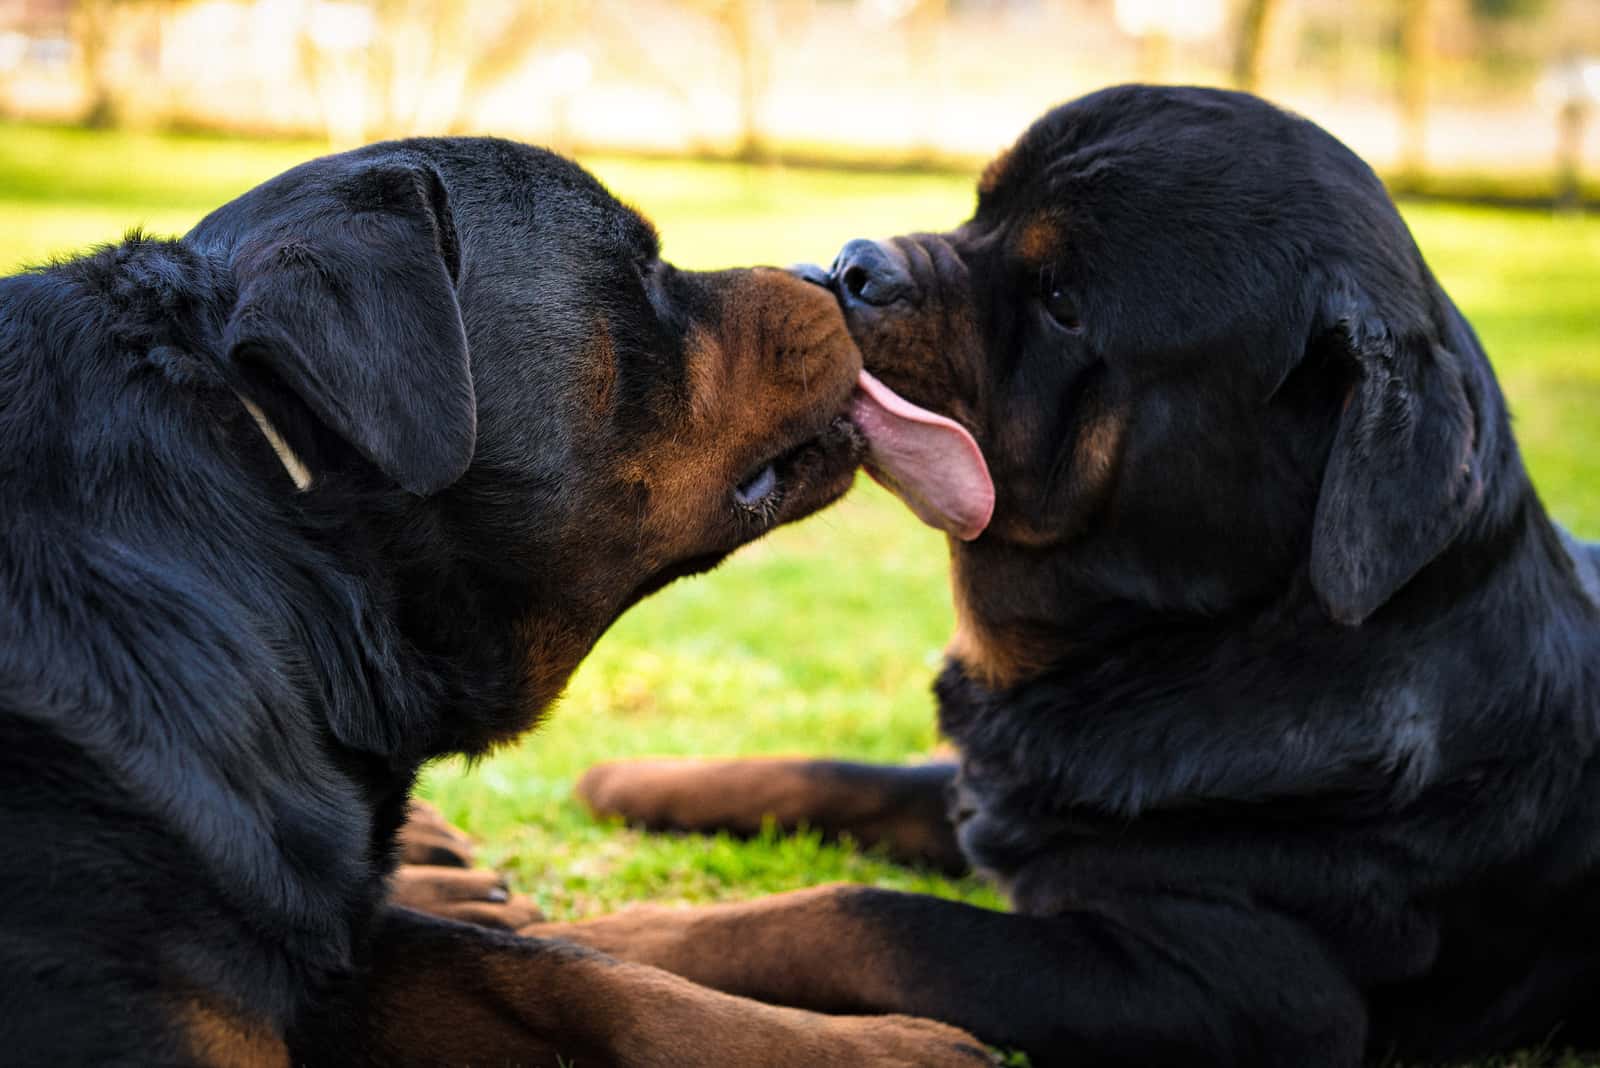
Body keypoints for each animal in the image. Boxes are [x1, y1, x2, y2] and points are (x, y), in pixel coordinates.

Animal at [560, 87, 1600, 1061]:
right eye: (980, 211)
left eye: (1062, 303)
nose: (858, 264)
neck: (1177, 649)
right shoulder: (997, 791)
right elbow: (836, 774)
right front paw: (637, 779)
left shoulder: (1237, 989)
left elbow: (867, 920)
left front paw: (624, 939)